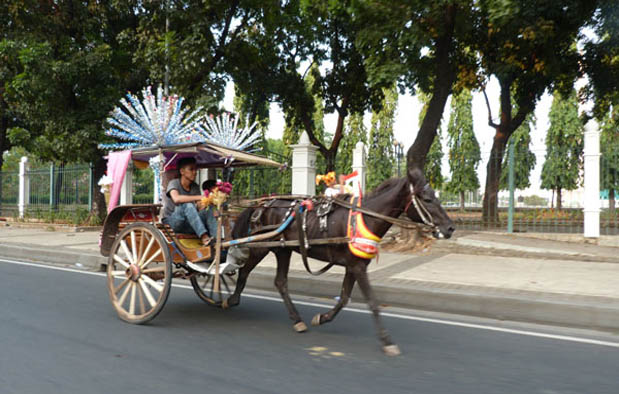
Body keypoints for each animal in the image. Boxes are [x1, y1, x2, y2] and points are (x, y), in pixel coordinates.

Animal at [225, 168, 452, 356]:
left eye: (436, 196)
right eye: (426, 199)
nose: (449, 227)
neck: (364, 217)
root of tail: (262, 204)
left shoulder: (354, 265)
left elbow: (343, 298)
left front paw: (323, 318)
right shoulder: (357, 267)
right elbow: (373, 302)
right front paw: (387, 341)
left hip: (283, 250)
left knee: (280, 282)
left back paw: (297, 320)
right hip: (261, 246)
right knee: (245, 271)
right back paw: (231, 299)